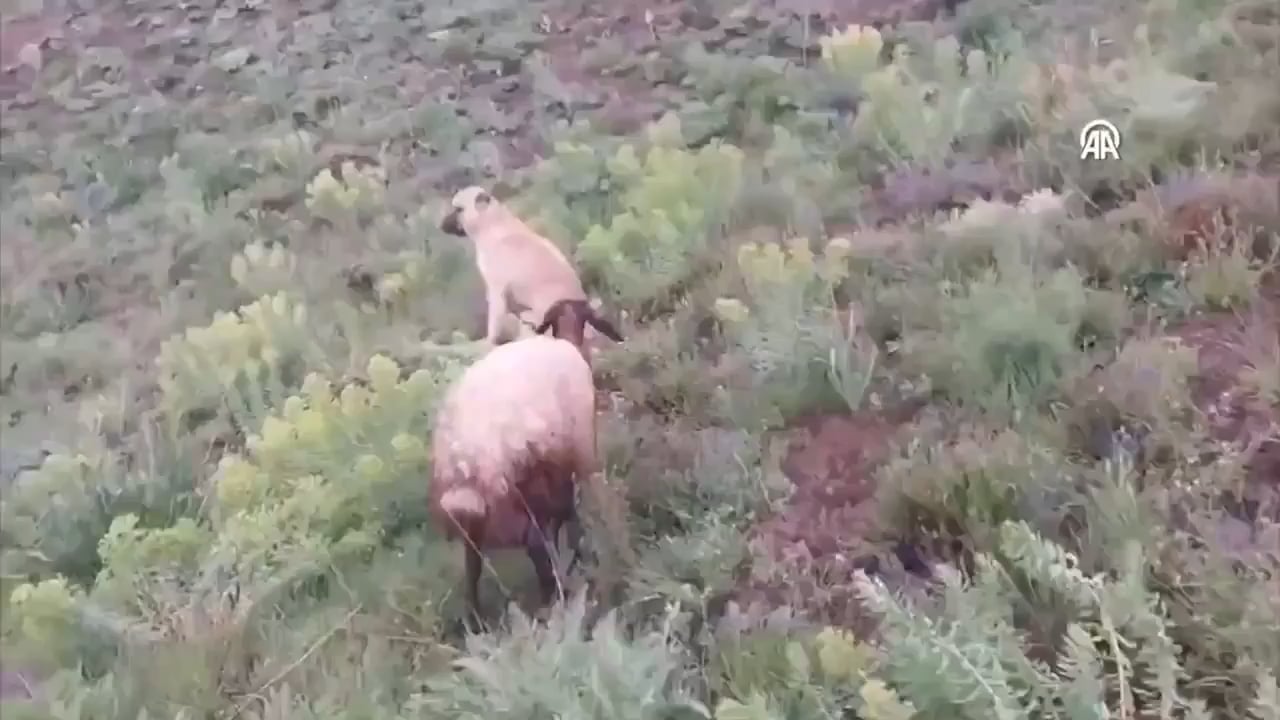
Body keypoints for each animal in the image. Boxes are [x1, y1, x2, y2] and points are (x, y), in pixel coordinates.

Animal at [429, 297, 623, 625]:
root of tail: (466, 461)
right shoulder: (574, 460)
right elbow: (570, 516)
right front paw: (579, 554)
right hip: (517, 495)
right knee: (534, 544)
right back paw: (553, 599)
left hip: (475, 522)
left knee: (472, 567)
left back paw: (476, 622)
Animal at [439, 185, 591, 346]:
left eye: (458, 209)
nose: (441, 224)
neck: (491, 223)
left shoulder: (496, 289)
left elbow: (495, 321)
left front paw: (490, 341)